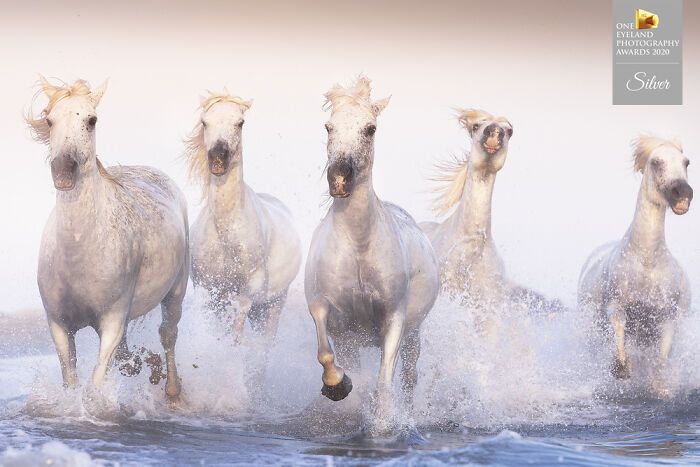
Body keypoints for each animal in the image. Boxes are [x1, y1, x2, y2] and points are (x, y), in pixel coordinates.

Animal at [27, 77, 189, 398]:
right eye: (50, 120)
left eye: (91, 120)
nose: (63, 172)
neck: (80, 250)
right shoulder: (59, 326)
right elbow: (71, 380)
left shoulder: (111, 323)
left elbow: (96, 384)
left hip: (176, 293)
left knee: (168, 335)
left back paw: (172, 389)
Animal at [186, 91, 301, 349]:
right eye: (204, 122)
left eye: (240, 123)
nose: (218, 159)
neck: (226, 234)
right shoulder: (207, 291)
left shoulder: (245, 296)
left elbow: (235, 338)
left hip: (273, 304)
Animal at [304, 77, 439, 414]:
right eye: (328, 126)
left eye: (370, 128)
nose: (340, 178)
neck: (358, 249)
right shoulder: (328, 312)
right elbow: (325, 350)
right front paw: (337, 385)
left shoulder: (395, 319)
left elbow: (384, 387)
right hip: (353, 340)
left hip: (414, 334)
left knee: (409, 378)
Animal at [578, 136, 692, 387]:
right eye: (656, 162)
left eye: (686, 162)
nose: (683, 192)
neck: (647, 261)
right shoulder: (615, 305)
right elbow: (619, 325)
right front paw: (620, 368)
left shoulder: (666, 319)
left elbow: (660, 363)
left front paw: (659, 387)